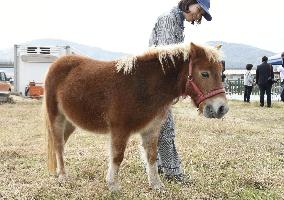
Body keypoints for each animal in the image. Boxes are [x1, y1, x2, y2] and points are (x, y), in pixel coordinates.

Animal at [43, 42, 229, 191]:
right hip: (56, 118)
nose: (221, 108)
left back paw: (59, 172)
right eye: (204, 73)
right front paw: (113, 185)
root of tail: (56, 64)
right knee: (59, 145)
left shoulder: (151, 130)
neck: (143, 86)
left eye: (221, 73)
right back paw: (63, 176)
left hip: (70, 122)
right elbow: (118, 156)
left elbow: (152, 157)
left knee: (61, 144)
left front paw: (156, 185)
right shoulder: (120, 130)